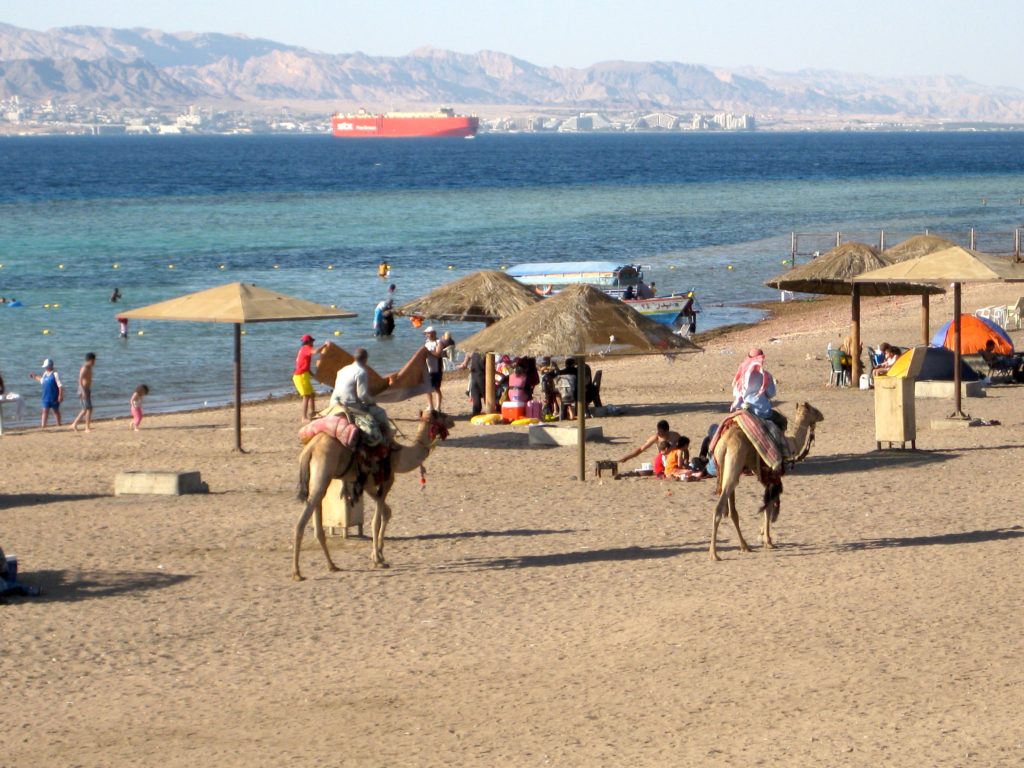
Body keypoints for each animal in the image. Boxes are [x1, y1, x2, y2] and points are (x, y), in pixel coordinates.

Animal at [296, 411, 456, 581]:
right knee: (301, 522)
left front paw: (379, 554)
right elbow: (376, 521)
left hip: (318, 481)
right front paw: (378, 560)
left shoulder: (368, 484)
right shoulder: (386, 480)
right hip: (323, 473)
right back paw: (297, 573)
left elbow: (386, 512)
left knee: (317, 524)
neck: (398, 455)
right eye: (440, 414)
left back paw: (332, 565)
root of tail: (309, 450)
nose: (452, 420)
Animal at [712, 403, 823, 561]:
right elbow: (769, 505)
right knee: (719, 508)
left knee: (733, 511)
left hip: (728, 470)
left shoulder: (765, 477)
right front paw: (768, 541)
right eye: (814, 410)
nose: (822, 415)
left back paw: (745, 546)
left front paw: (764, 537)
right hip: (734, 463)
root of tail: (724, 444)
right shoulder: (772, 475)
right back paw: (714, 554)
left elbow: (767, 504)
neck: (790, 443)